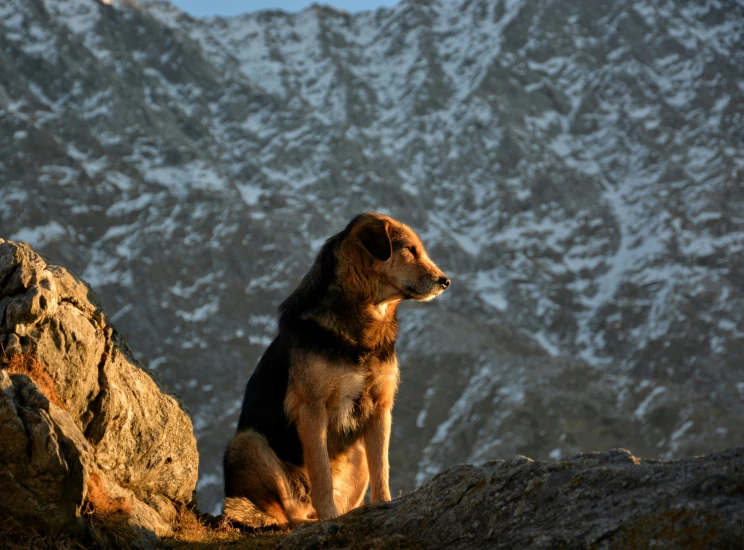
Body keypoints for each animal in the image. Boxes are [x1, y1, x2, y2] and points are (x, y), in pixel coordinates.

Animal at [224, 212, 450, 532]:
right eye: (410, 249)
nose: (446, 281)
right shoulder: (311, 408)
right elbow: (321, 473)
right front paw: (329, 517)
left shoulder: (380, 407)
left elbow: (381, 467)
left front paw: (384, 504)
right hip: (247, 442)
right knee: (287, 514)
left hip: (356, 453)